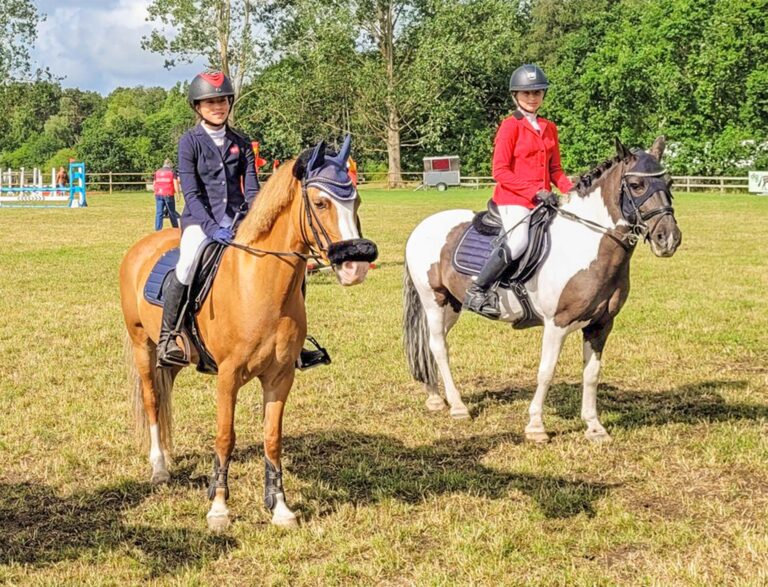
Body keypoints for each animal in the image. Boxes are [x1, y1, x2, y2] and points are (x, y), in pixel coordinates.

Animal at [119, 139, 378, 532]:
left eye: (357, 201)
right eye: (320, 203)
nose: (356, 266)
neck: (260, 285)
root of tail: (143, 245)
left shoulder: (280, 376)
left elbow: (272, 439)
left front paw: (280, 507)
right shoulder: (228, 377)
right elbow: (225, 437)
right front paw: (219, 508)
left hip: (174, 359)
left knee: (166, 395)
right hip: (142, 347)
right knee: (153, 400)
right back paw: (159, 467)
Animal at [404, 137, 680, 440]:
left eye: (669, 182)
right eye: (636, 185)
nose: (668, 239)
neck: (587, 243)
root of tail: (422, 226)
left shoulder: (601, 324)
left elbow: (592, 374)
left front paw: (594, 427)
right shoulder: (556, 323)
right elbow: (546, 371)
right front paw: (536, 426)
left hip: (452, 305)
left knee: (432, 344)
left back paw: (434, 397)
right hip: (434, 300)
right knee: (438, 346)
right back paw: (457, 406)